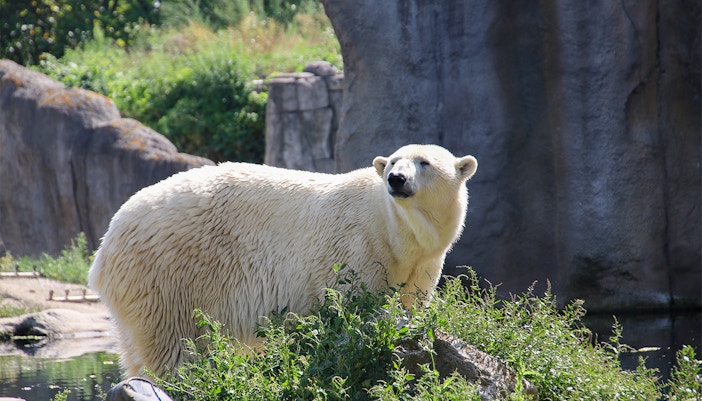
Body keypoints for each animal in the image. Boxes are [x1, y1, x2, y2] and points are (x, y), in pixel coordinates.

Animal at [88, 144, 477, 377]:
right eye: (394, 162)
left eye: (425, 162)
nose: (396, 179)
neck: (393, 229)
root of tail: (106, 244)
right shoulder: (358, 251)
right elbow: (355, 311)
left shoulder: (421, 264)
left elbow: (410, 303)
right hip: (167, 275)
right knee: (174, 351)